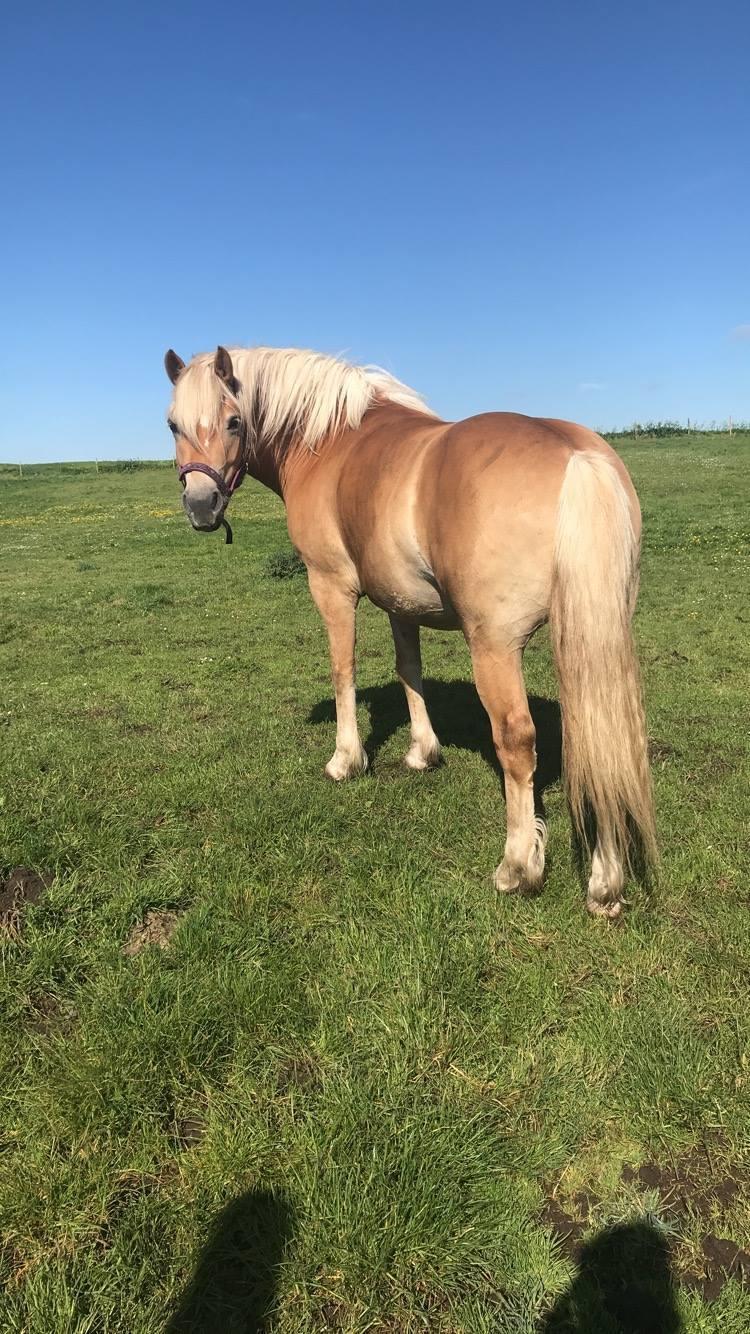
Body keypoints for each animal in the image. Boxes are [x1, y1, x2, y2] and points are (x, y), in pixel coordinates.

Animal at [163, 341, 653, 917]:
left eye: (234, 421)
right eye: (173, 424)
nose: (201, 506)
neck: (330, 440)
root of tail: (576, 456)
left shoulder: (331, 586)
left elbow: (343, 669)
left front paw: (346, 760)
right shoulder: (400, 600)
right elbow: (408, 669)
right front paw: (423, 751)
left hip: (495, 647)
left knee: (517, 741)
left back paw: (517, 867)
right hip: (589, 640)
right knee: (599, 735)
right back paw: (605, 883)